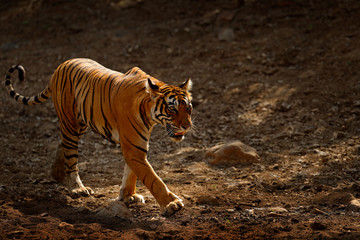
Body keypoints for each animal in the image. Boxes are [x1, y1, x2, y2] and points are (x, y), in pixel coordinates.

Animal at [4, 58, 193, 216]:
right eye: (172, 109)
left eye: (188, 108)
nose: (187, 126)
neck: (149, 113)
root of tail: (60, 66)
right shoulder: (133, 147)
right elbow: (153, 179)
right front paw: (171, 204)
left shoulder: (136, 144)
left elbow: (131, 173)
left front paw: (128, 196)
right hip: (71, 124)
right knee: (71, 158)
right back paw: (77, 188)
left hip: (79, 123)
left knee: (62, 144)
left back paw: (58, 174)